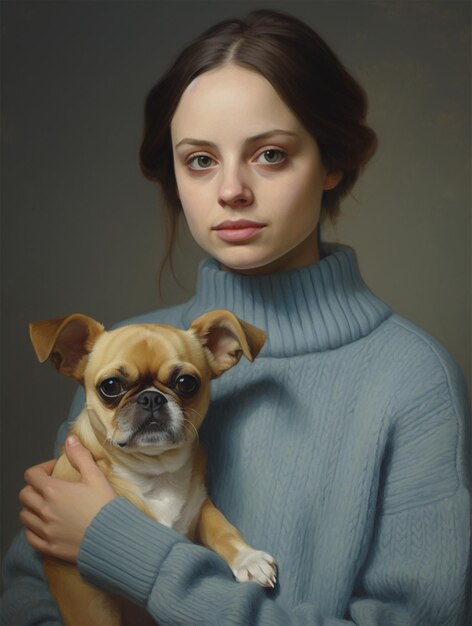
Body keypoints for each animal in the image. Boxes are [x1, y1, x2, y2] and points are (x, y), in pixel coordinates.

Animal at [29, 310, 276, 624]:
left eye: (186, 383)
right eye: (110, 386)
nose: (151, 397)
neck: (154, 471)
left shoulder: (201, 510)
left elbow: (223, 529)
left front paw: (249, 558)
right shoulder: (82, 592)